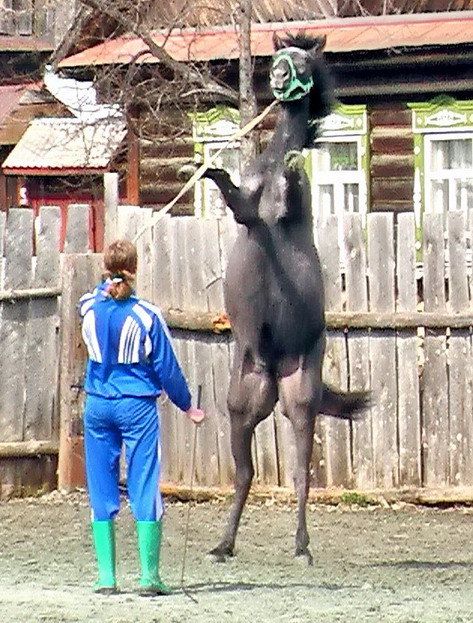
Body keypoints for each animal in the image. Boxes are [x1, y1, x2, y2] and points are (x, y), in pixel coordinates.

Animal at [183, 31, 366, 564]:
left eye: (301, 60)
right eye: (280, 58)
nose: (281, 75)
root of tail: (273, 368)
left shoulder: (287, 205)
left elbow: (285, 191)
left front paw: (289, 166)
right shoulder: (247, 210)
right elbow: (238, 202)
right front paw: (206, 168)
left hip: (299, 399)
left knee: (302, 472)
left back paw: (302, 546)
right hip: (243, 405)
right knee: (245, 473)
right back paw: (223, 544)